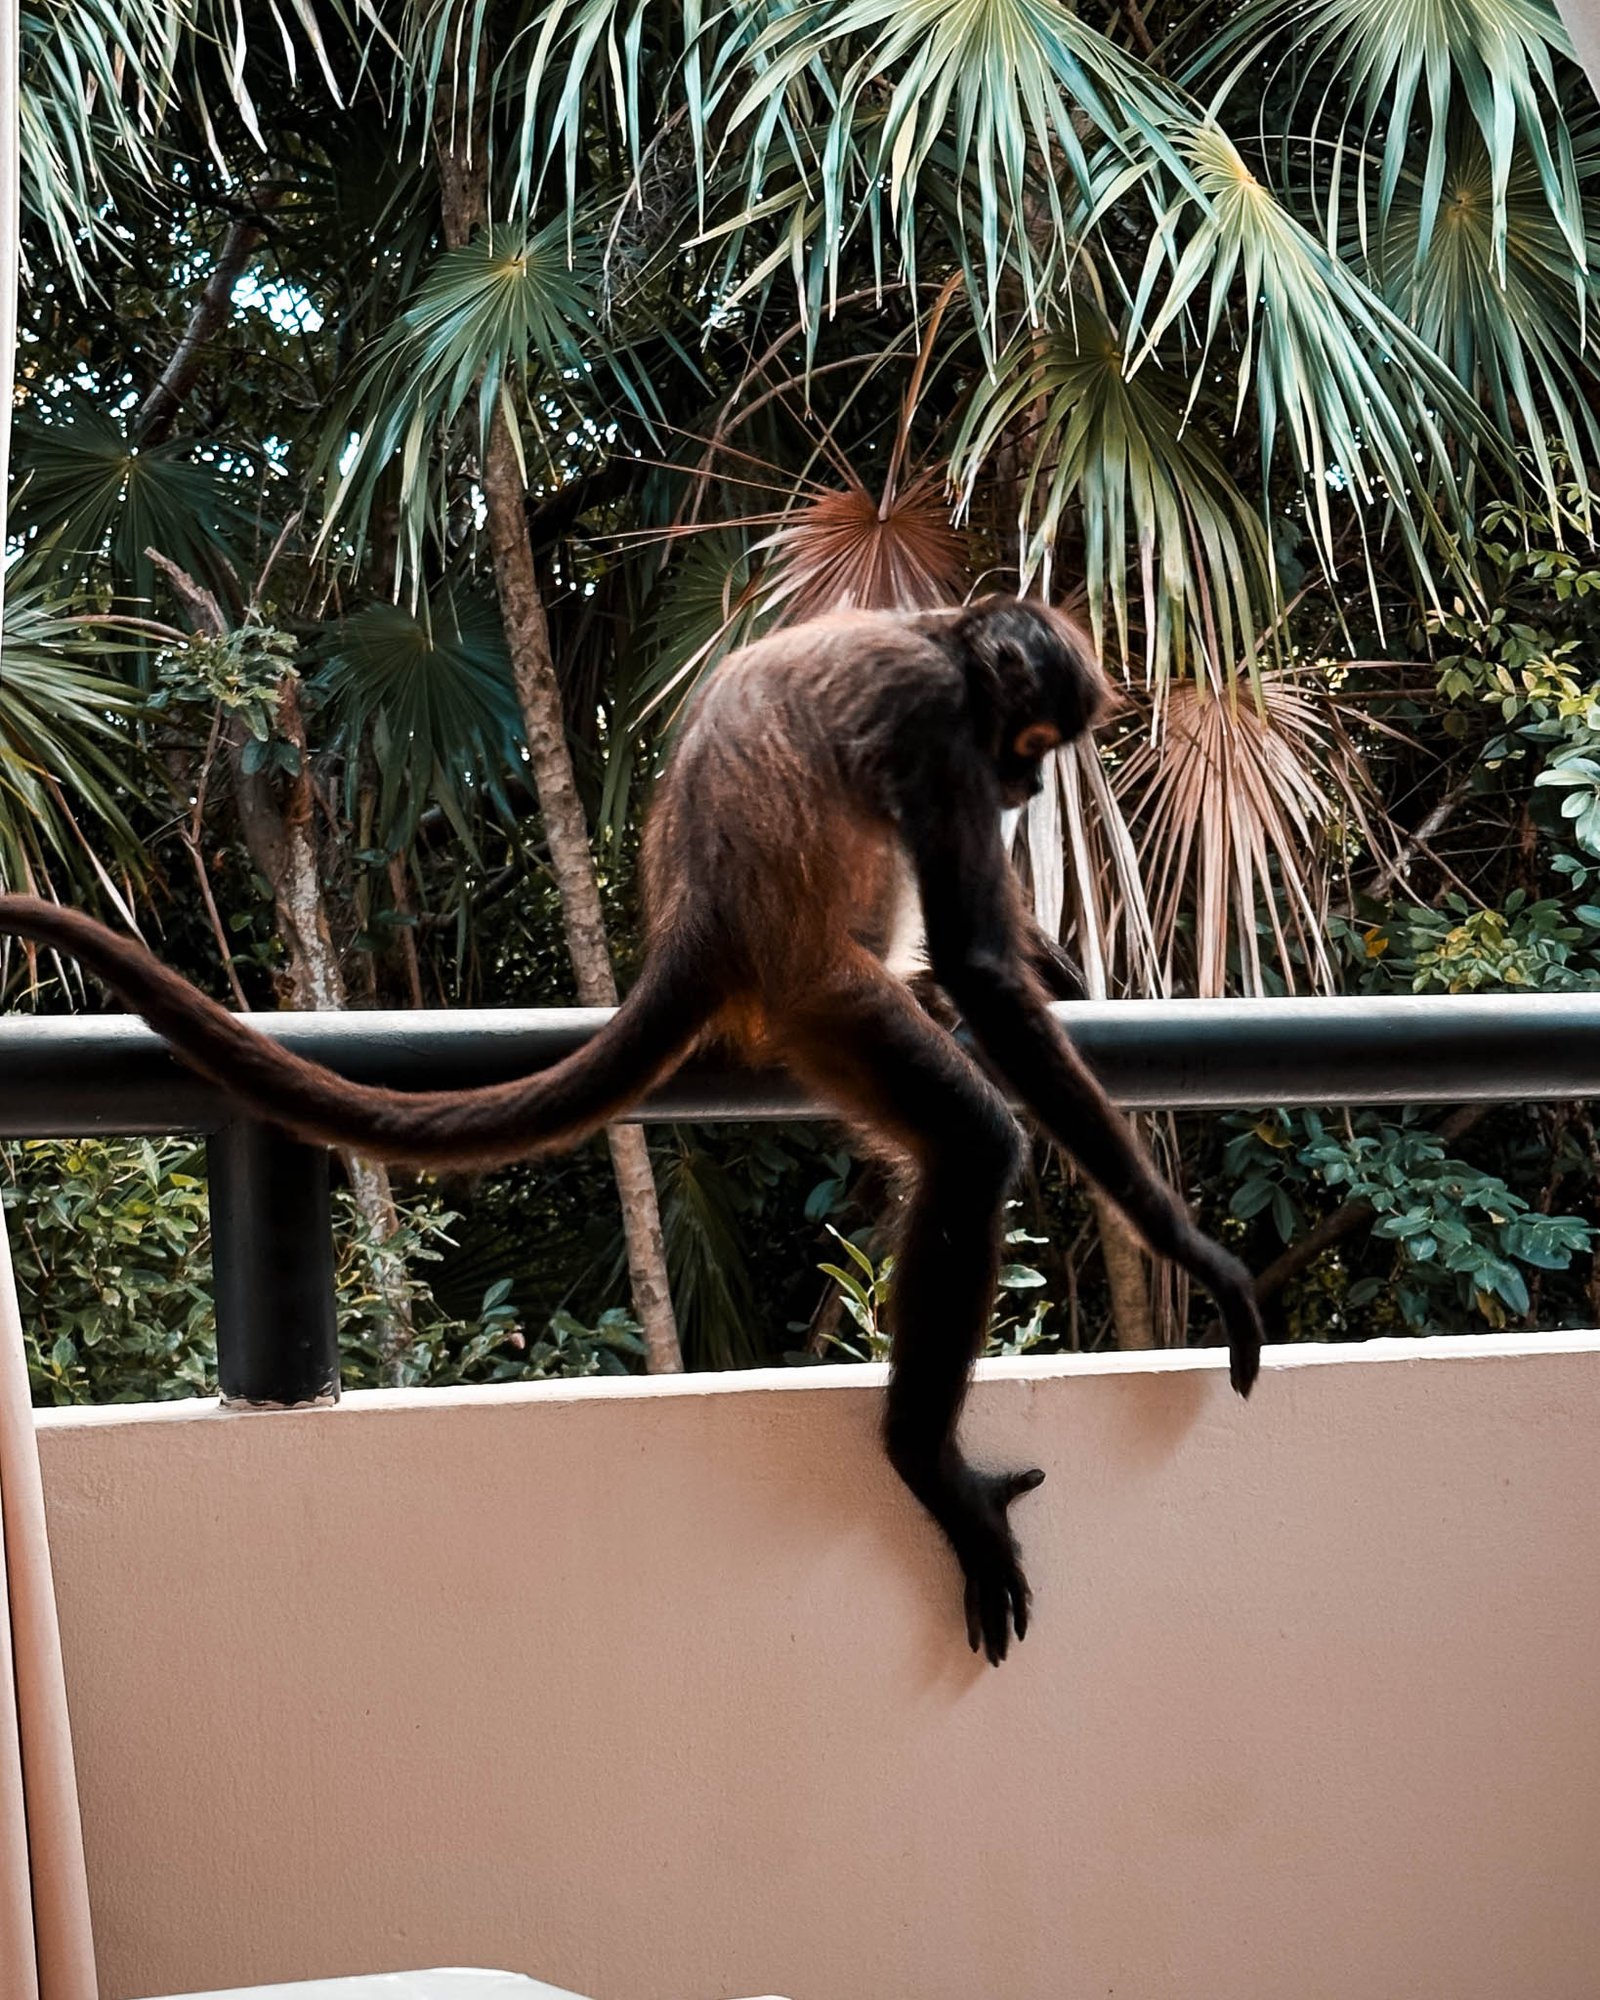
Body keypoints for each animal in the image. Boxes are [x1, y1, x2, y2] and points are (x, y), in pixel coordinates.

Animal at [0, 595, 1263, 1665]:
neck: (938, 631)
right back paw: (922, 1457)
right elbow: (984, 971)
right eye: (1029, 738)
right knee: (973, 1139)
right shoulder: (937, 722)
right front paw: (1195, 1250)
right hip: (821, 1000)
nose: (1026, 786)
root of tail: (702, 916)